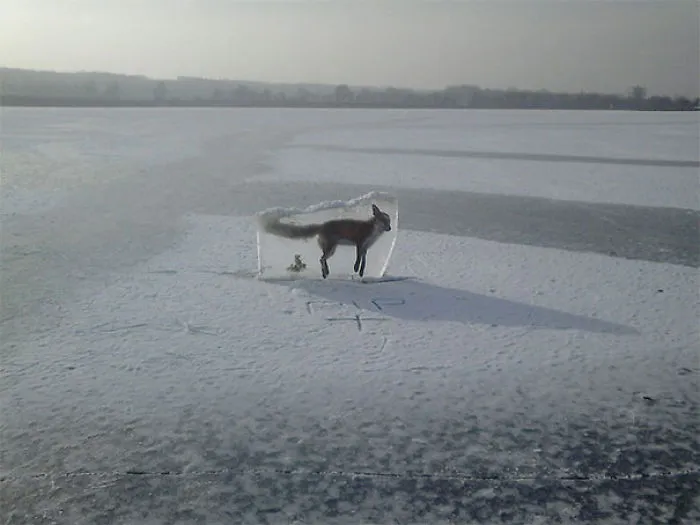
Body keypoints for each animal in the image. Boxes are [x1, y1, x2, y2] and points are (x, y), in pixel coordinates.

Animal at [261, 203, 392, 279]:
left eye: (389, 221)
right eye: (383, 221)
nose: (390, 228)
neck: (373, 232)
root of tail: (322, 225)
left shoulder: (365, 248)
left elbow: (364, 262)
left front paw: (361, 272)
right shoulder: (359, 243)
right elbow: (358, 259)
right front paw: (356, 268)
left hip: (331, 250)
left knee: (322, 259)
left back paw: (326, 272)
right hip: (331, 248)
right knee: (321, 259)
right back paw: (325, 273)